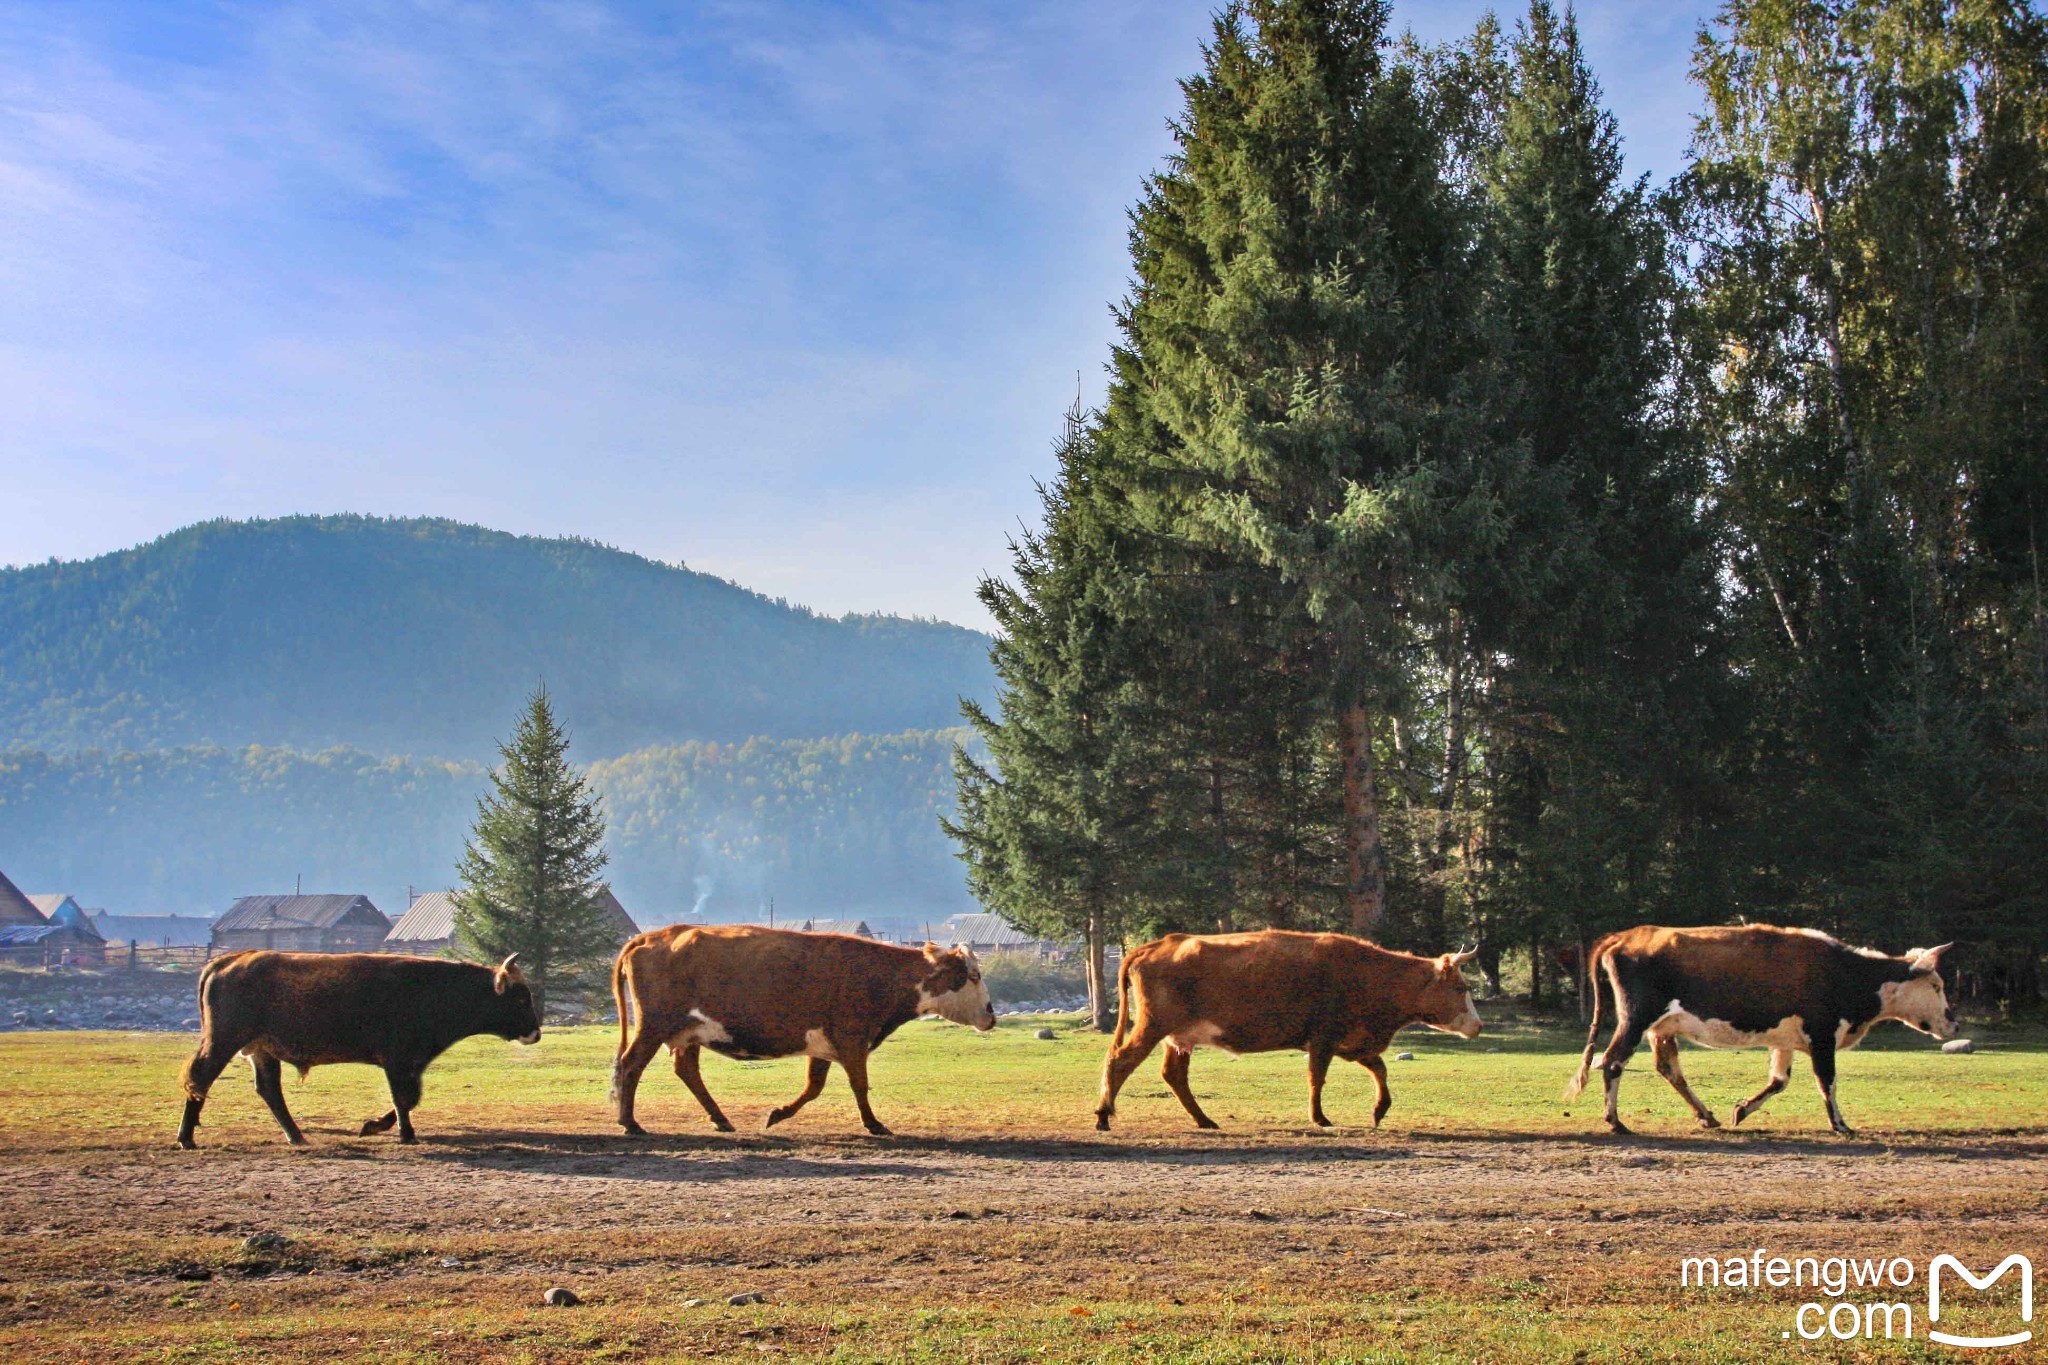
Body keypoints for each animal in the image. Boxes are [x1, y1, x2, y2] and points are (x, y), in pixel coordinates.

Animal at [175, 949, 540, 1154]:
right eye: (521, 997)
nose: (535, 1033)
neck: (436, 988)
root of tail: (230, 960)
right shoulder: (398, 1060)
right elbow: (403, 1099)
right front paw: (406, 1134)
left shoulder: (412, 1062)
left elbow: (408, 1099)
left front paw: (375, 1126)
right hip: (224, 1042)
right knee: (200, 1079)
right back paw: (186, 1138)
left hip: (262, 1050)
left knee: (269, 1090)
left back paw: (296, 1136)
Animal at [606, 925, 991, 1137]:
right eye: (973, 975)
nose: (990, 1014)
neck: (880, 974)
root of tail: (652, 936)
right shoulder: (852, 1040)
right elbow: (859, 1085)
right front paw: (874, 1124)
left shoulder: (822, 1045)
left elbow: (813, 1087)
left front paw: (777, 1114)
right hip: (653, 1026)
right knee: (631, 1064)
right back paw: (630, 1123)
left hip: (689, 1033)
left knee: (686, 1070)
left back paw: (720, 1119)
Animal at [1097, 929, 1482, 1129]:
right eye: (1460, 988)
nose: (1478, 1026)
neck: (1369, 973)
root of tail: (1159, 944)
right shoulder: (1324, 1038)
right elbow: (1317, 1078)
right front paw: (1320, 1117)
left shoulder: (1352, 1041)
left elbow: (1380, 1068)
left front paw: (1379, 1109)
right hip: (1152, 1026)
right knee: (1120, 1060)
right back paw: (1103, 1115)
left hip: (1178, 1037)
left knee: (1174, 1075)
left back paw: (1204, 1120)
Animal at [1572, 925, 1957, 1137]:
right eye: (1937, 985)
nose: (1953, 1022)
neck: (1848, 973)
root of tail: (1627, 936)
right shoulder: (1822, 1035)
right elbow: (1827, 1081)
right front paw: (1840, 1124)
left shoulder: (1785, 1040)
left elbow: (1779, 1081)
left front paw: (1741, 1110)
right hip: (1635, 1019)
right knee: (1612, 1062)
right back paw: (1615, 1121)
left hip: (1661, 1028)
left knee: (1668, 1069)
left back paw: (1706, 1116)